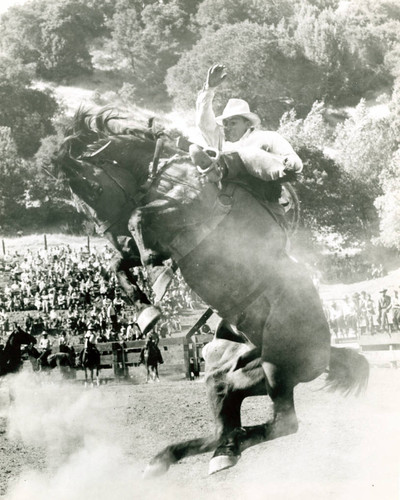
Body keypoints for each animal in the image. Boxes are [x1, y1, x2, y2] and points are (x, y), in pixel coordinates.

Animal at [56, 108, 368, 476]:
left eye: (92, 187)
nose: (113, 238)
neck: (167, 174)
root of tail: (328, 349)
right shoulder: (163, 244)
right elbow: (118, 262)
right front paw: (147, 311)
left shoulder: (183, 222)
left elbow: (135, 220)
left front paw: (153, 278)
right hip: (229, 374)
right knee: (227, 419)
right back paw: (195, 453)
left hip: (277, 368)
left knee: (284, 422)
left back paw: (224, 449)